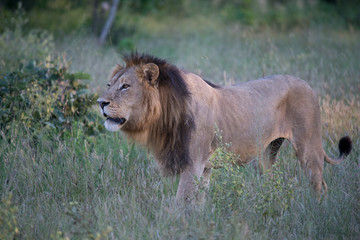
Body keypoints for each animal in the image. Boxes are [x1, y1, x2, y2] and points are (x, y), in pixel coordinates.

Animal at [97, 52, 352, 202]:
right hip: (266, 154)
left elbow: (181, 204)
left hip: (308, 147)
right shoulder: (203, 168)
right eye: (110, 85)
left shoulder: (193, 164)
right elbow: (197, 204)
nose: (100, 103)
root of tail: (307, 84)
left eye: (125, 86)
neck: (165, 115)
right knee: (274, 181)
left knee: (318, 184)